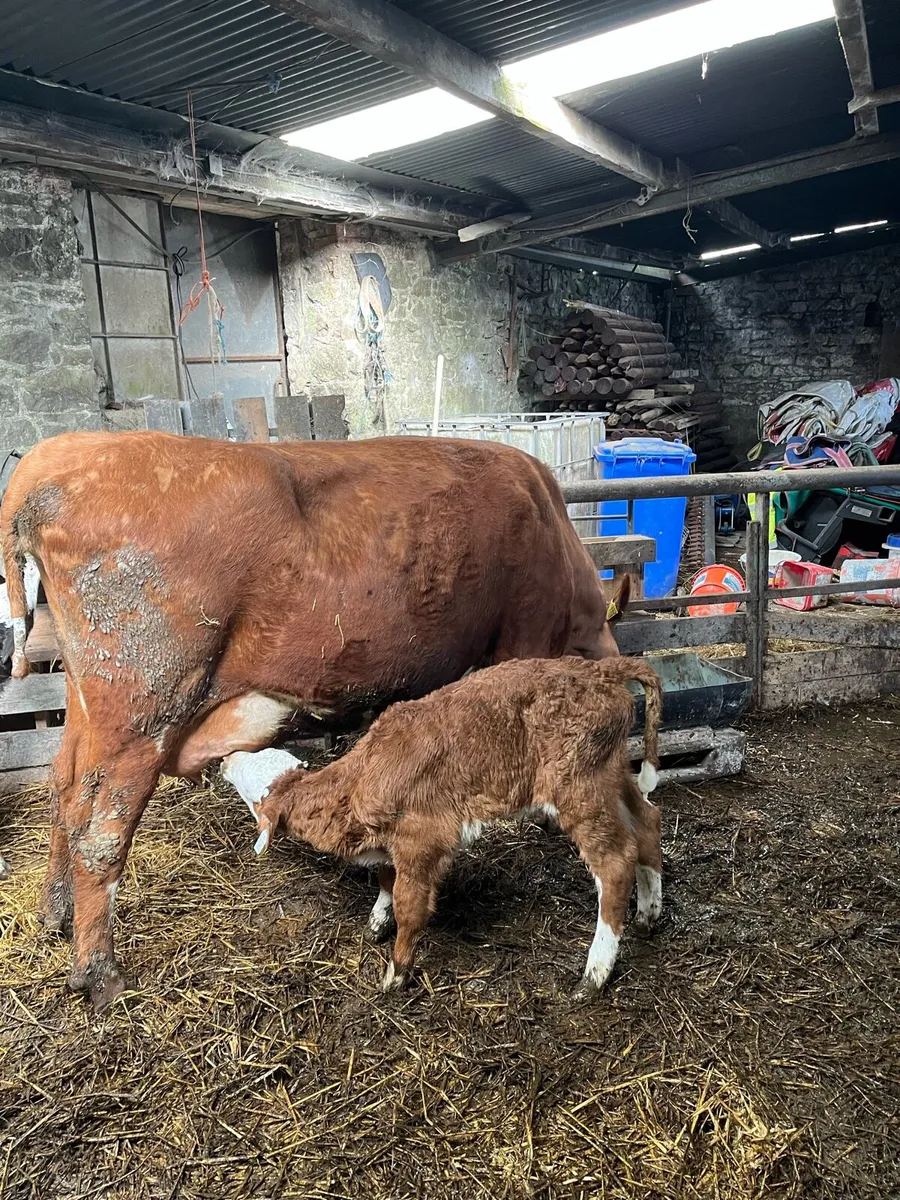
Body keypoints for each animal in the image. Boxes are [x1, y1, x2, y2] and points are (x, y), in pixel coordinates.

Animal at [224, 655, 663, 999]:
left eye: (249, 783)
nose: (225, 760)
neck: (359, 781)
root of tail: (601, 669)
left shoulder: (422, 841)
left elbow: (410, 907)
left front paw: (395, 974)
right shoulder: (394, 844)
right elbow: (386, 881)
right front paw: (376, 922)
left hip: (578, 787)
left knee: (615, 863)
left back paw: (594, 975)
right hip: (611, 772)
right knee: (647, 821)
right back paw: (649, 913)